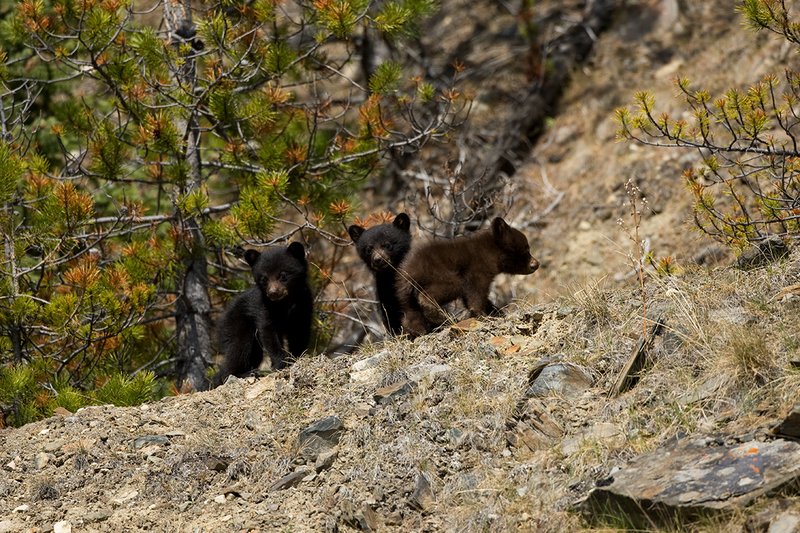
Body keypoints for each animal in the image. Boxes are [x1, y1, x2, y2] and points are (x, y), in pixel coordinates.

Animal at [213, 242, 313, 387]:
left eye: (283, 275)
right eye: (264, 279)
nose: (273, 293)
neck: (284, 303)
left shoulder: (303, 304)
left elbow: (300, 332)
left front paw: (297, 357)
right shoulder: (264, 308)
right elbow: (269, 333)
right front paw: (281, 362)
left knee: (253, 354)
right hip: (237, 325)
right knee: (238, 350)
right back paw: (238, 375)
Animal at [396, 217, 539, 338]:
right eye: (525, 249)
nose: (536, 264)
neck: (491, 251)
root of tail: (409, 272)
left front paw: (496, 311)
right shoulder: (477, 267)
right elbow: (476, 291)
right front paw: (483, 314)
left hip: (407, 297)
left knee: (411, 313)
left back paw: (417, 330)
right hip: (439, 274)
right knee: (443, 289)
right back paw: (440, 316)